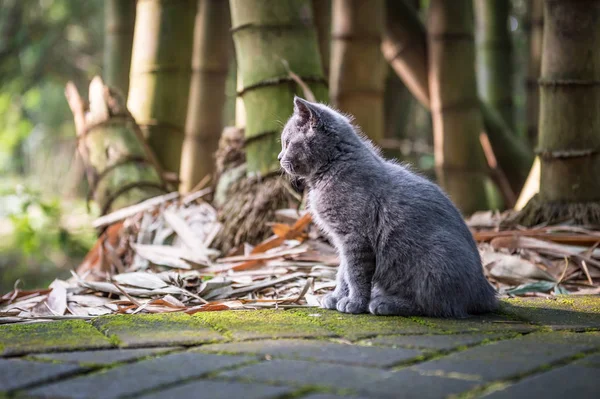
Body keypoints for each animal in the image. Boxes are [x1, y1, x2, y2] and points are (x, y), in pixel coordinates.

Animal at [278, 95, 500, 318]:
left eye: (287, 142)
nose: (279, 157)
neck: (334, 167)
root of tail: (486, 292)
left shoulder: (355, 237)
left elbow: (354, 273)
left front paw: (354, 303)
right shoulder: (342, 240)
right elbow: (342, 271)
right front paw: (337, 296)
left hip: (433, 260)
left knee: (437, 304)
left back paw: (384, 303)